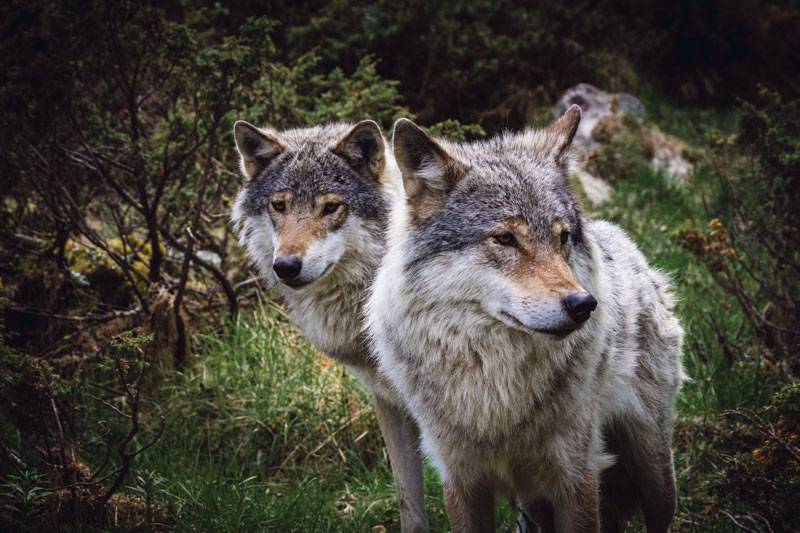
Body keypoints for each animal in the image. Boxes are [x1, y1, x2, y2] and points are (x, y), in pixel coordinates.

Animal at [365, 106, 685, 532]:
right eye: (505, 239)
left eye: (563, 238)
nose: (584, 304)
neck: (496, 391)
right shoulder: (461, 484)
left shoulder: (578, 479)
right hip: (537, 503)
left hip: (654, 474)